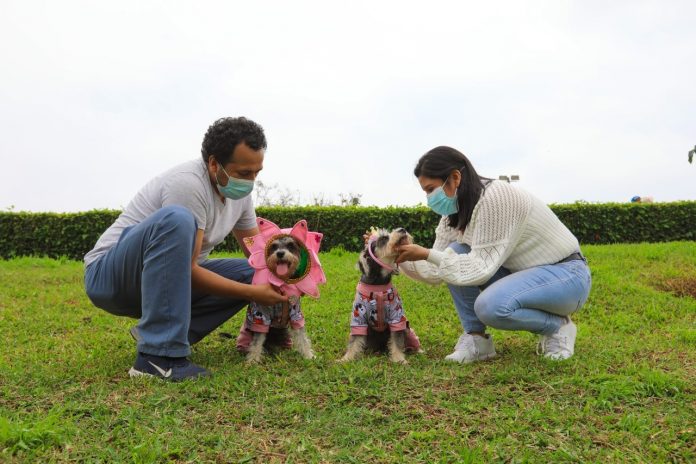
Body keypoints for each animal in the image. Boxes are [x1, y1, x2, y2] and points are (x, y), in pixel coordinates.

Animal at [340, 227, 422, 364]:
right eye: (383, 238)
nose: (402, 229)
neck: (378, 285)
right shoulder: (358, 319)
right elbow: (354, 341)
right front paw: (346, 358)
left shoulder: (397, 318)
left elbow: (397, 341)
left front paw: (399, 359)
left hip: (407, 328)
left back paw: (418, 350)